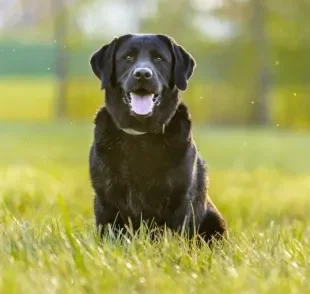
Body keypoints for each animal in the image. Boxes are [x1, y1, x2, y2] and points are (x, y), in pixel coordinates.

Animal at [88, 34, 226, 243]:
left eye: (159, 58)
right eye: (127, 57)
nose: (143, 74)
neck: (141, 137)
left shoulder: (180, 200)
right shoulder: (105, 200)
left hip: (214, 219)